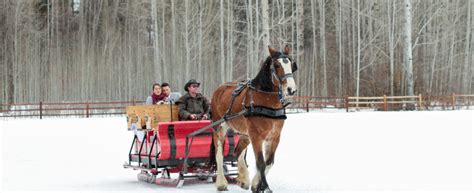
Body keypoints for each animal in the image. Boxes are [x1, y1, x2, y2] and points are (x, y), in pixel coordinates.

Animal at [210, 45, 296, 193]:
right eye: (277, 65)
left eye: (291, 64)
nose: (291, 89)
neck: (266, 101)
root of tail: (219, 89)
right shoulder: (256, 135)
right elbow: (260, 163)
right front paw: (265, 187)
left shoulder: (274, 136)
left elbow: (269, 162)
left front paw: (256, 184)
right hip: (220, 127)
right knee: (219, 154)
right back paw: (221, 183)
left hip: (244, 134)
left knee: (237, 152)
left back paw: (243, 179)